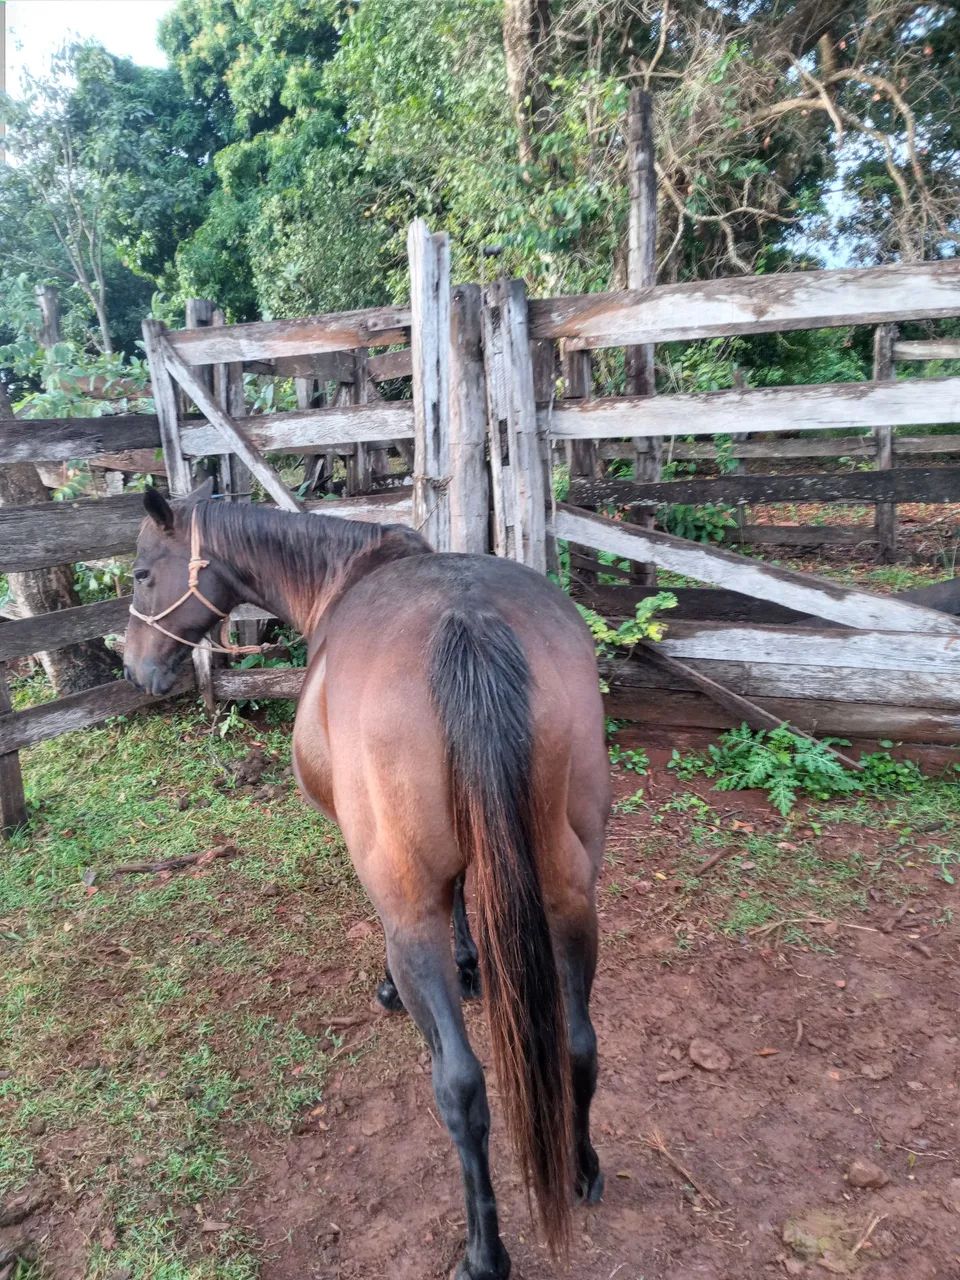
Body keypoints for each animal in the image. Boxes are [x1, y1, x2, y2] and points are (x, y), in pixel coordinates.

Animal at [123, 479, 611, 1278]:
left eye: (140, 574)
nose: (136, 668)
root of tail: (468, 625)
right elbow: (464, 901)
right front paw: (471, 964)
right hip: (571, 894)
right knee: (578, 1039)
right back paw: (582, 1167)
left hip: (415, 916)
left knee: (462, 1088)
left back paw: (484, 1252)